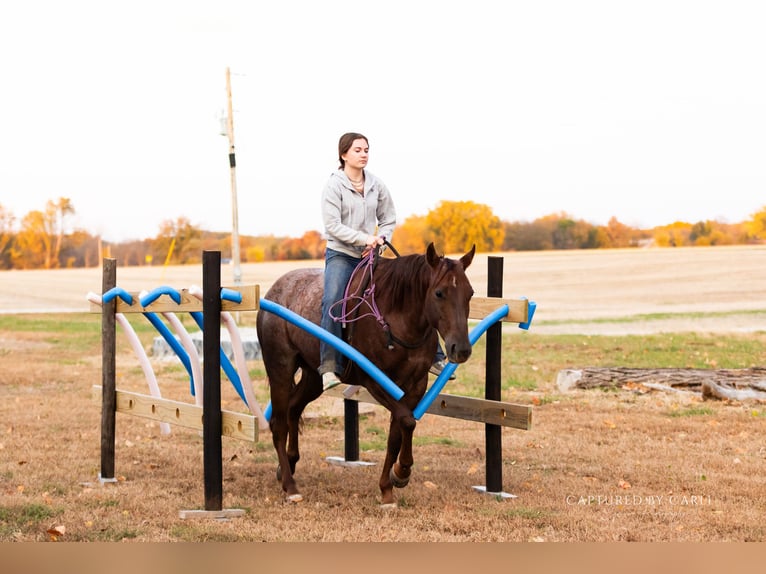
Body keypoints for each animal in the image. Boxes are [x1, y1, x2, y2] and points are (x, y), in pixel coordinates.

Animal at [256, 243, 476, 506]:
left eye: (470, 293)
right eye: (439, 293)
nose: (460, 349)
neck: (397, 316)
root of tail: (275, 290)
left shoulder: (414, 385)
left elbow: (397, 432)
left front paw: (389, 486)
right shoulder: (375, 382)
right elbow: (407, 421)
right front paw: (401, 473)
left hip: (313, 376)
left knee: (293, 409)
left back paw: (287, 466)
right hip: (280, 368)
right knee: (278, 424)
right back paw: (290, 487)